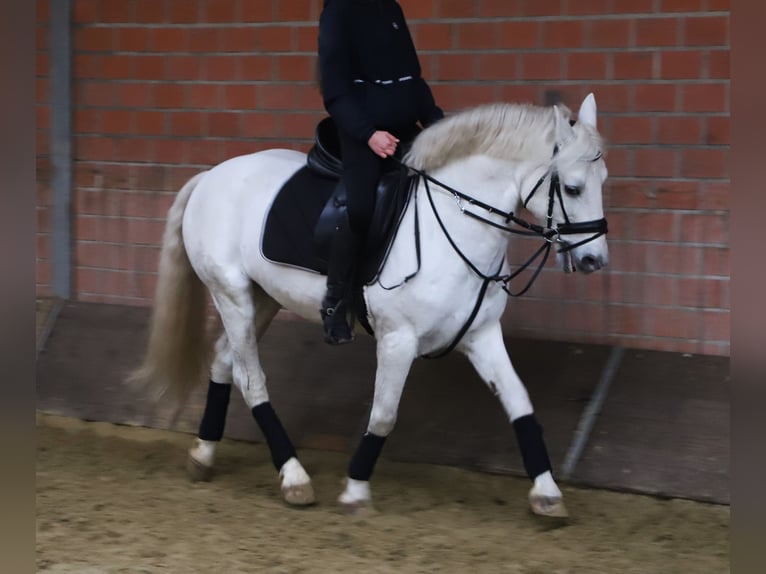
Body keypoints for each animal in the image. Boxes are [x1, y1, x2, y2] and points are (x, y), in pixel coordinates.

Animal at [131, 93, 609, 518]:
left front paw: (547, 494)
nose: (593, 261)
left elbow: (520, 403)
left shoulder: (481, 335)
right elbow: (382, 415)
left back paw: (204, 454)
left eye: (603, 181)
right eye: (572, 188)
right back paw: (294, 478)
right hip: (231, 297)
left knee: (223, 363)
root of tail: (211, 176)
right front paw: (355, 491)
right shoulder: (398, 339)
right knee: (252, 382)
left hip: (259, 301)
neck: (454, 227)